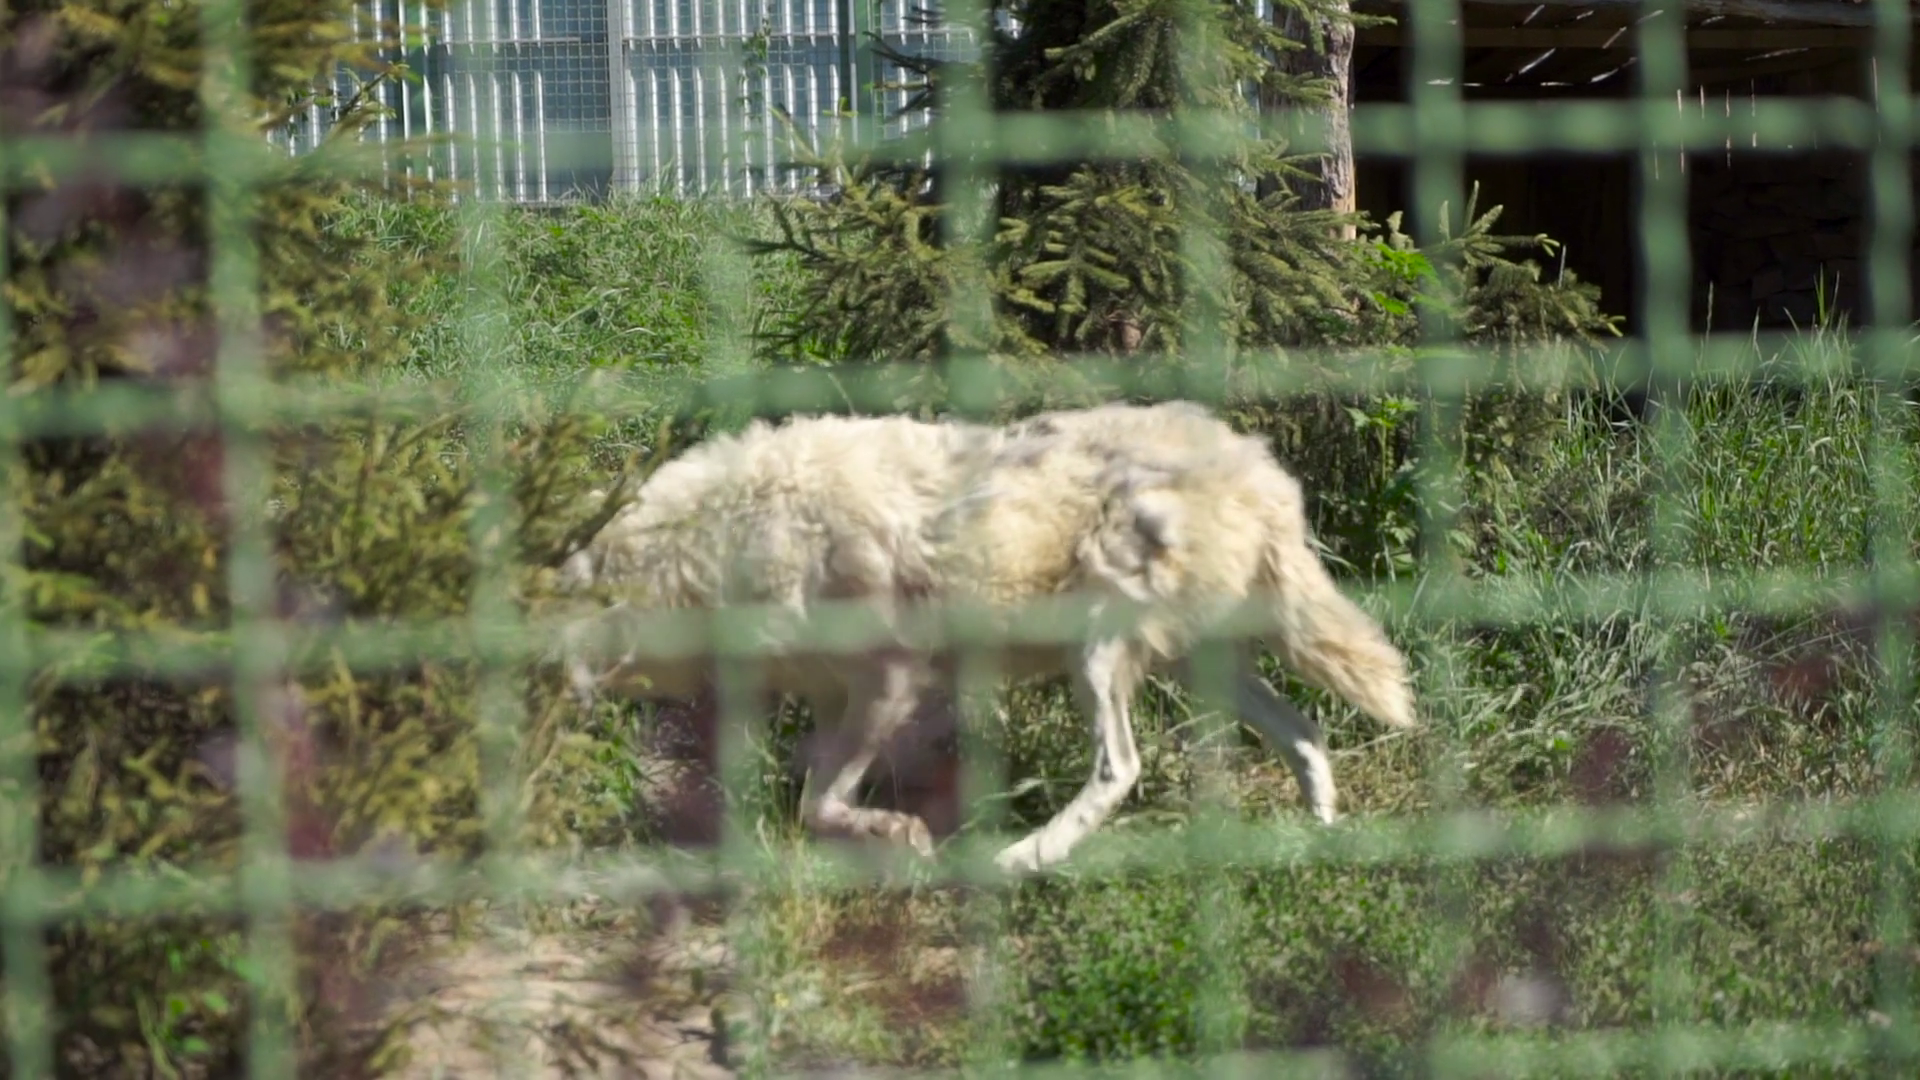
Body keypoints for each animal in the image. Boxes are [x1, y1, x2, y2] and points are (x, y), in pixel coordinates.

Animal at [554, 400, 1416, 875]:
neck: (728, 539)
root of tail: (1264, 475)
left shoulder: (893, 680)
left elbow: (819, 800)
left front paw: (902, 836)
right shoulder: (837, 695)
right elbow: (813, 785)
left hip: (1095, 656)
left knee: (1120, 766)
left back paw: (1025, 858)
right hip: (1199, 667)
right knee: (1304, 733)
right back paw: (1319, 841)